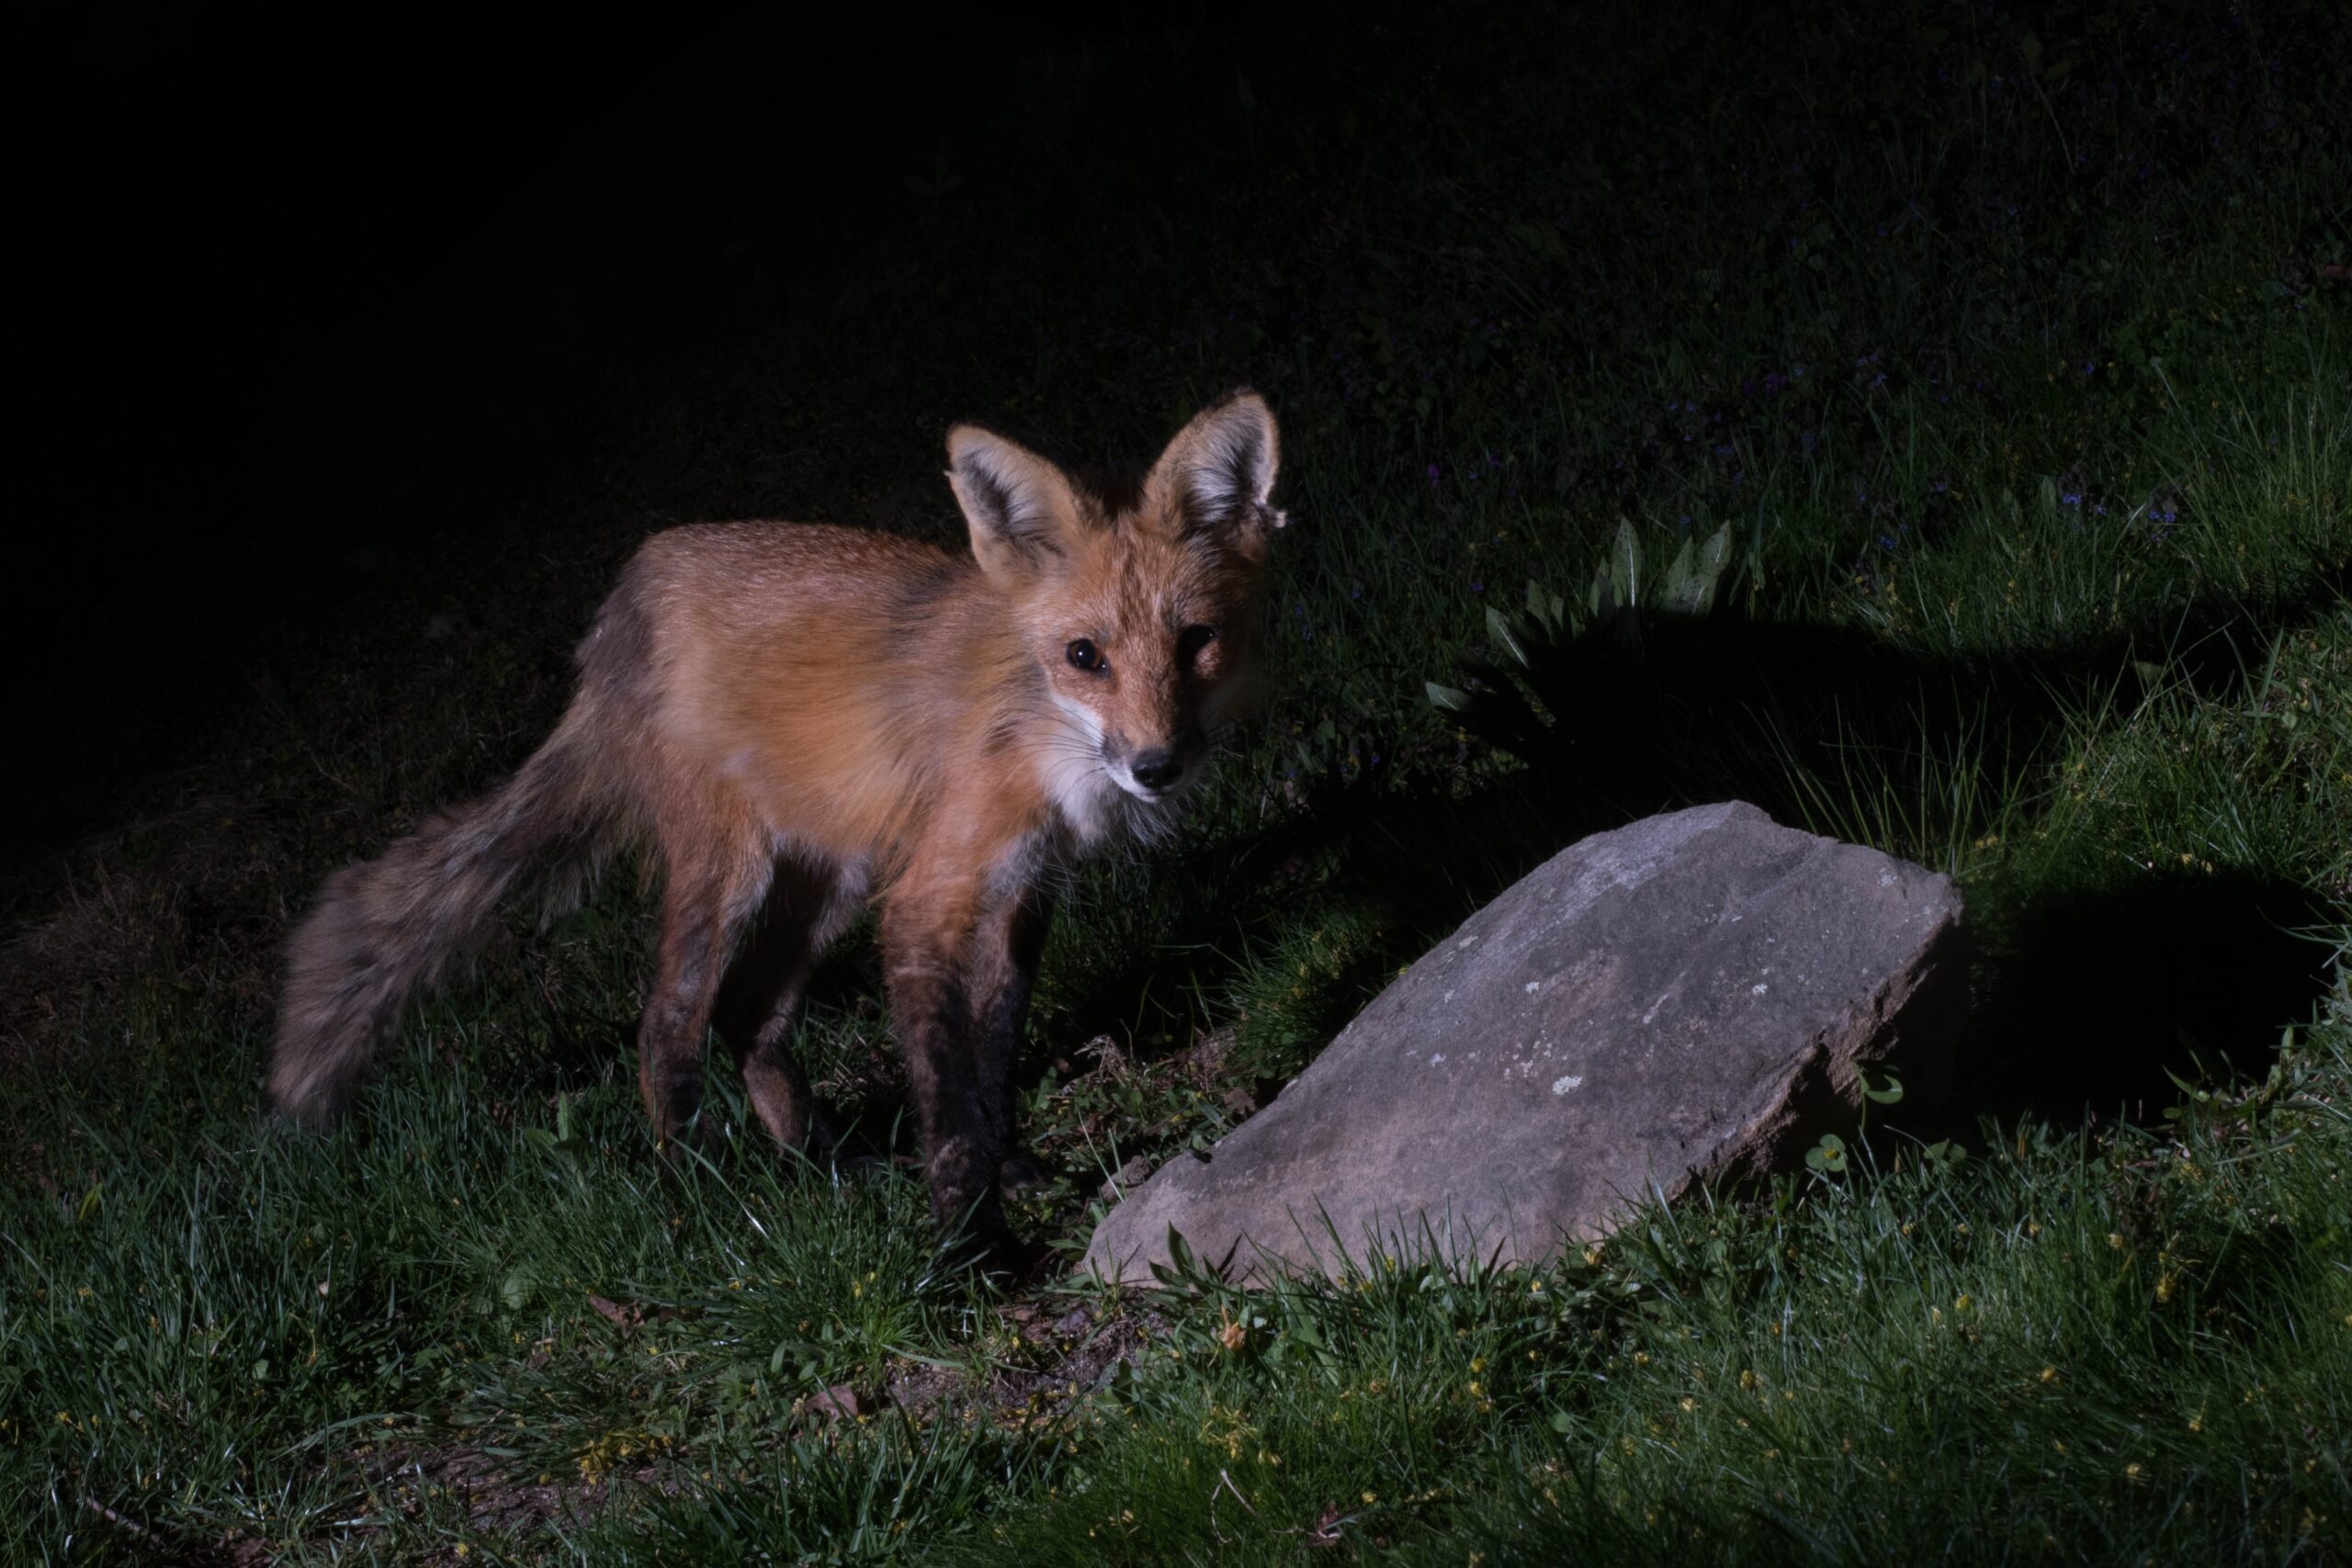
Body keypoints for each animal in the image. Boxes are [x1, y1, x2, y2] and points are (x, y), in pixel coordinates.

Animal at [269, 391, 1285, 1264]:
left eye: (1196, 642)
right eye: (1084, 656)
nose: (1156, 766)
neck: (1036, 729)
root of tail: (622, 604)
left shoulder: (1021, 890)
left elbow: (993, 1059)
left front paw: (1015, 1169)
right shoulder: (926, 901)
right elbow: (947, 1098)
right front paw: (971, 1246)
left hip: (825, 881)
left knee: (749, 1018)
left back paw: (820, 1164)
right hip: (731, 876)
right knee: (668, 1026)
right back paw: (700, 1189)